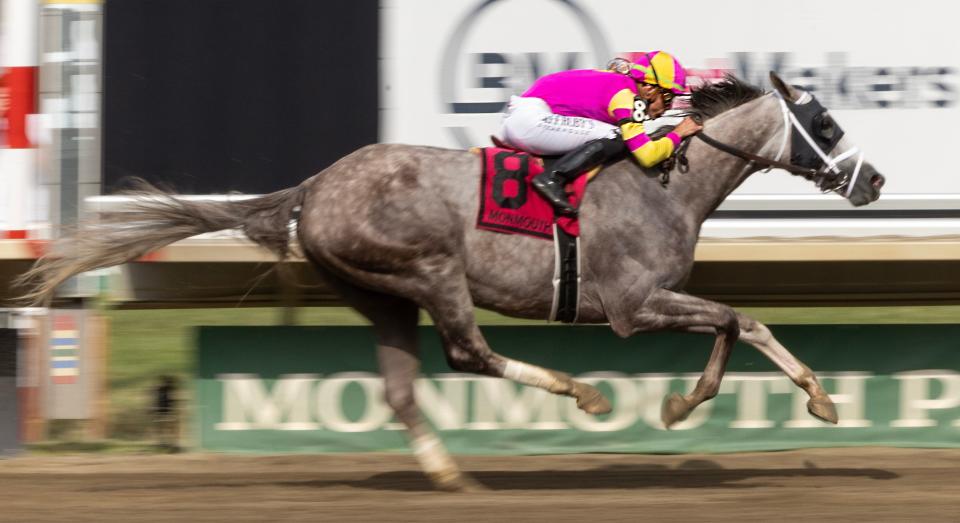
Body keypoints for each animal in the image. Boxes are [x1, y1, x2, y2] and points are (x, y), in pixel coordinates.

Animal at [20, 72, 884, 492]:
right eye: (826, 125)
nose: (873, 179)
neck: (667, 178)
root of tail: (313, 186)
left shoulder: (647, 302)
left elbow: (738, 322)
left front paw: (728, 401)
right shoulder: (632, 305)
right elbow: (738, 318)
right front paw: (790, 396)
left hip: (379, 294)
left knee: (404, 387)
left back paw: (448, 472)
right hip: (429, 270)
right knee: (466, 351)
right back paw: (581, 393)